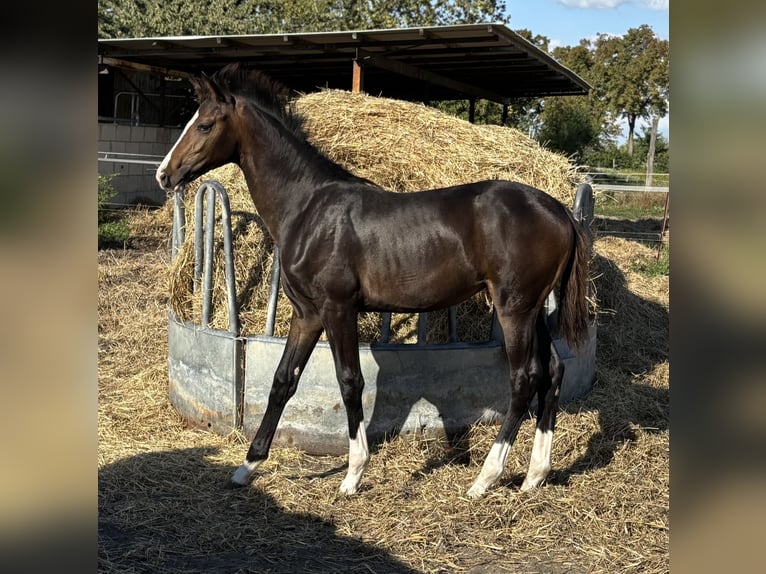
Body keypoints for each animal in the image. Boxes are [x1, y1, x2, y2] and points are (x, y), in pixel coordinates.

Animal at [156, 63, 591, 499]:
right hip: (532, 310)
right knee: (552, 372)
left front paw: (353, 474)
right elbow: (283, 380)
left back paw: (485, 478)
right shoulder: (307, 314)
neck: (308, 207)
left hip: (513, 309)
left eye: (205, 125)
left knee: (524, 379)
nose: (164, 174)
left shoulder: (337, 309)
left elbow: (350, 382)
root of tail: (558, 210)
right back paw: (535, 475)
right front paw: (248, 465)